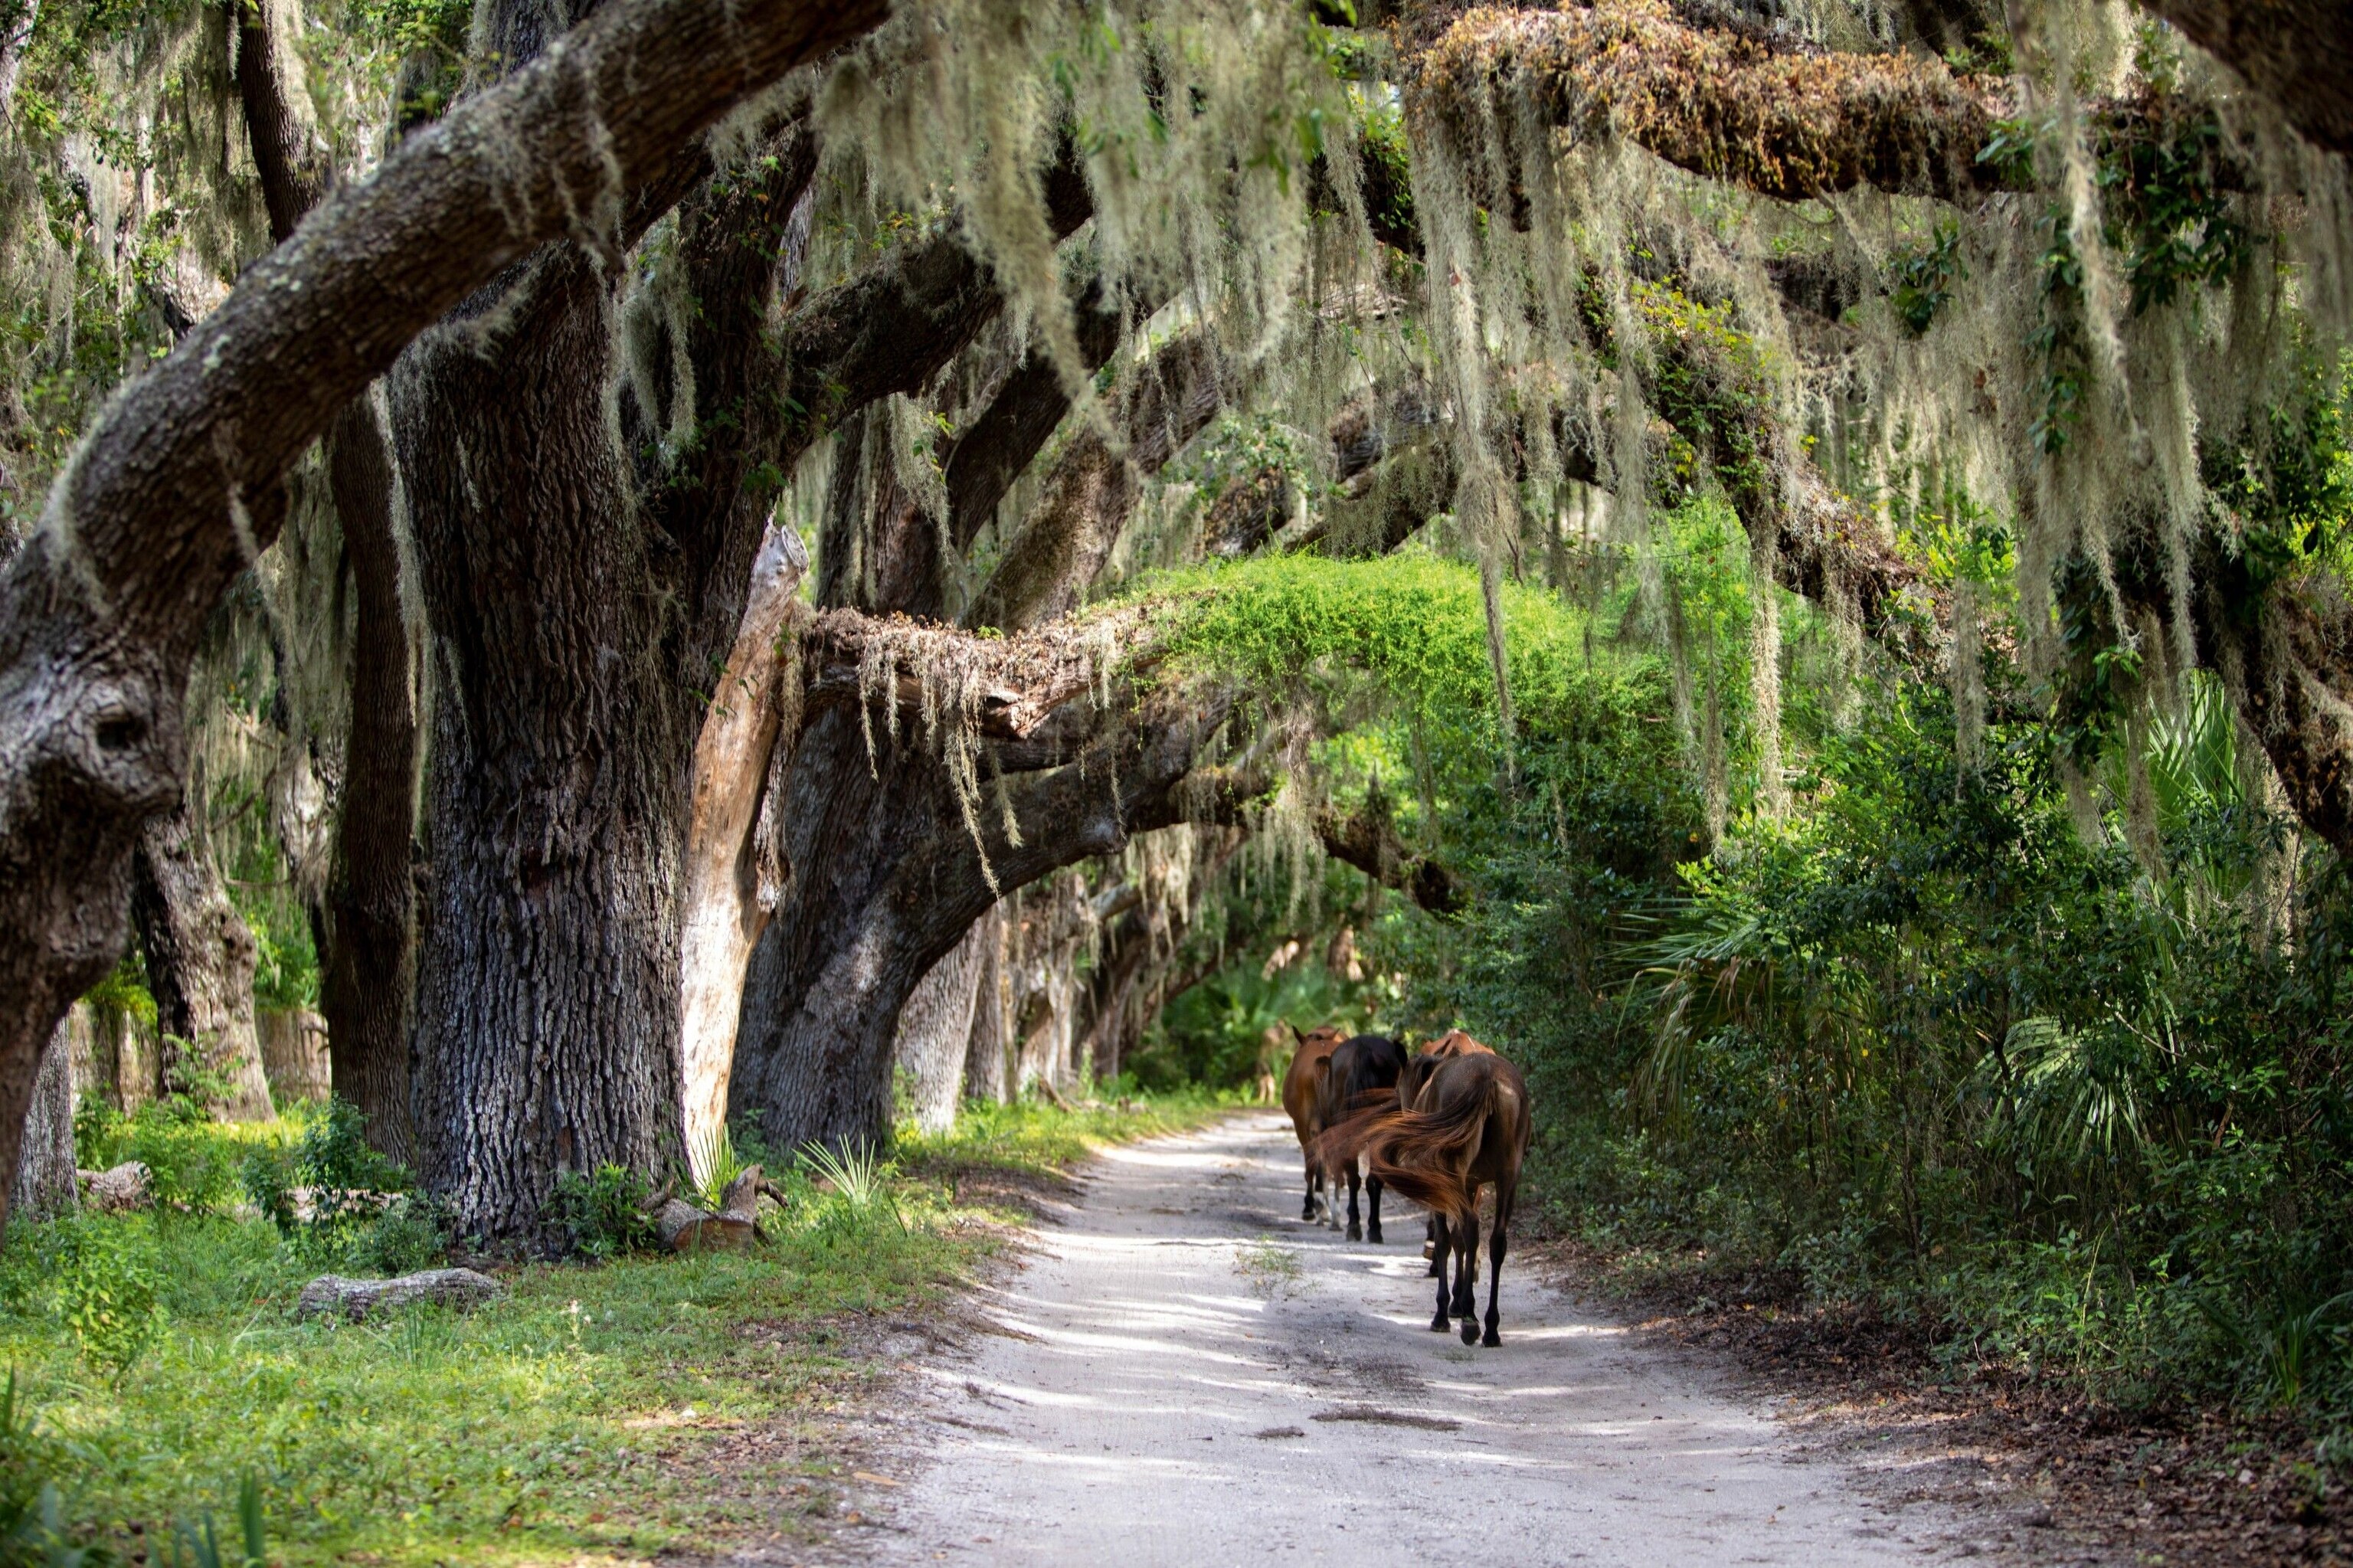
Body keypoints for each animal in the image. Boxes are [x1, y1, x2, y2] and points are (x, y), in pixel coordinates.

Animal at [1358, 1050, 1531, 1347]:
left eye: (1398, 1087)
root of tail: (1487, 1075)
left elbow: (1444, 1241)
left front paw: (1444, 1311)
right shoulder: (1470, 1185)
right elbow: (1460, 1241)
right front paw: (1457, 1303)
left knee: (1470, 1229)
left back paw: (1470, 1323)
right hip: (1508, 1177)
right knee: (1495, 1242)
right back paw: (1491, 1327)